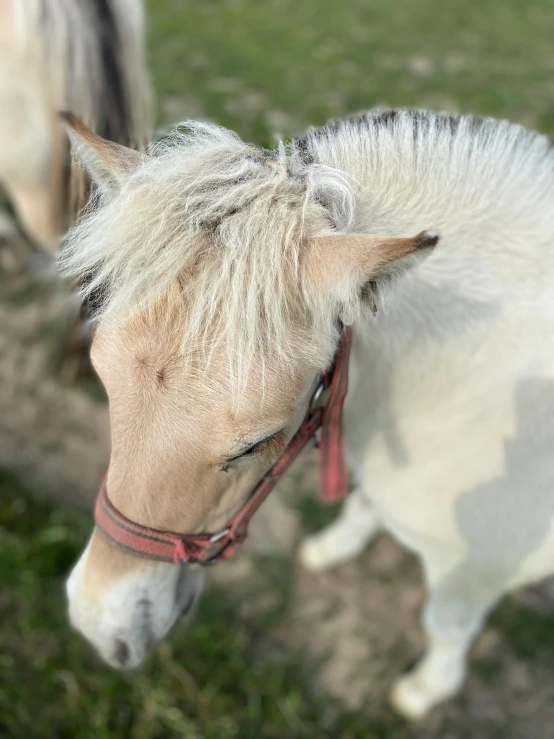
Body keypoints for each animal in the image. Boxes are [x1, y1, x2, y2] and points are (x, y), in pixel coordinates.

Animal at [62, 107, 552, 720]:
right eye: (103, 378)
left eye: (257, 442)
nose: (99, 623)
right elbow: (365, 507)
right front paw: (331, 548)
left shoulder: (477, 570)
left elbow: (446, 628)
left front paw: (424, 690)